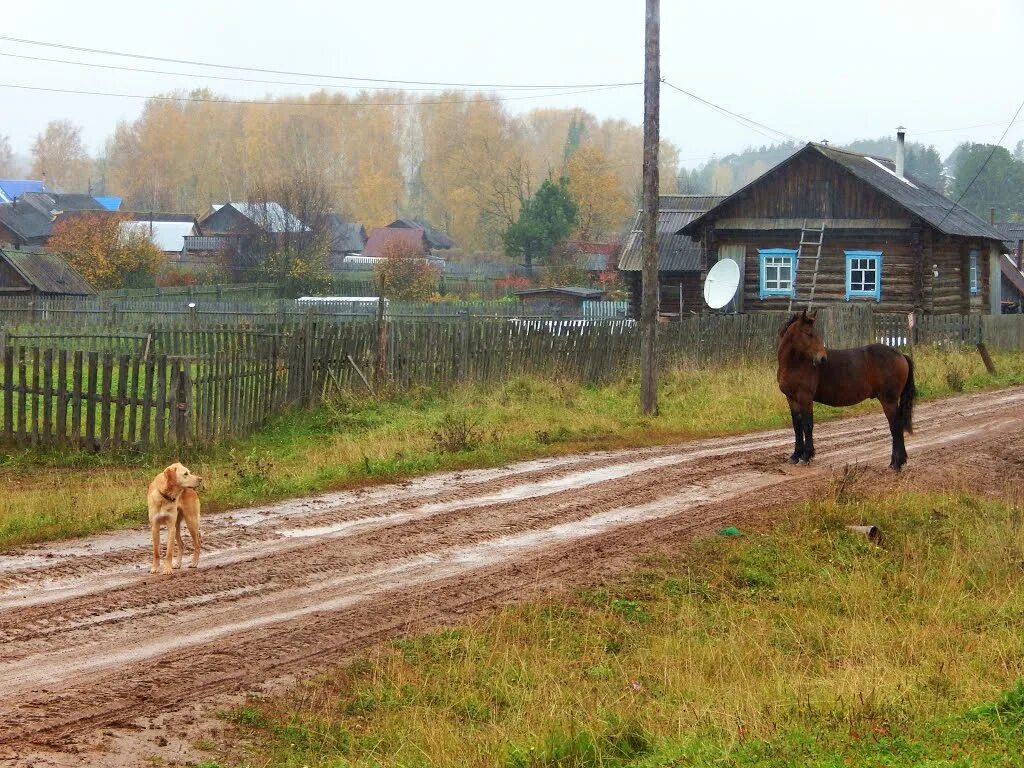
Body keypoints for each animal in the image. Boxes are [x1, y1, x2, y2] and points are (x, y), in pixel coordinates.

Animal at [778, 311, 917, 468]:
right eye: (809, 334)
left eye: (814, 333)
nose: (822, 358)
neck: (796, 364)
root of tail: (901, 355)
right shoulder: (791, 399)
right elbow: (797, 426)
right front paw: (795, 455)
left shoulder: (805, 398)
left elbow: (807, 425)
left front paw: (806, 456)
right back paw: (897, 461)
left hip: (889, 400)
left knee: (895, 426)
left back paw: (896, 464)